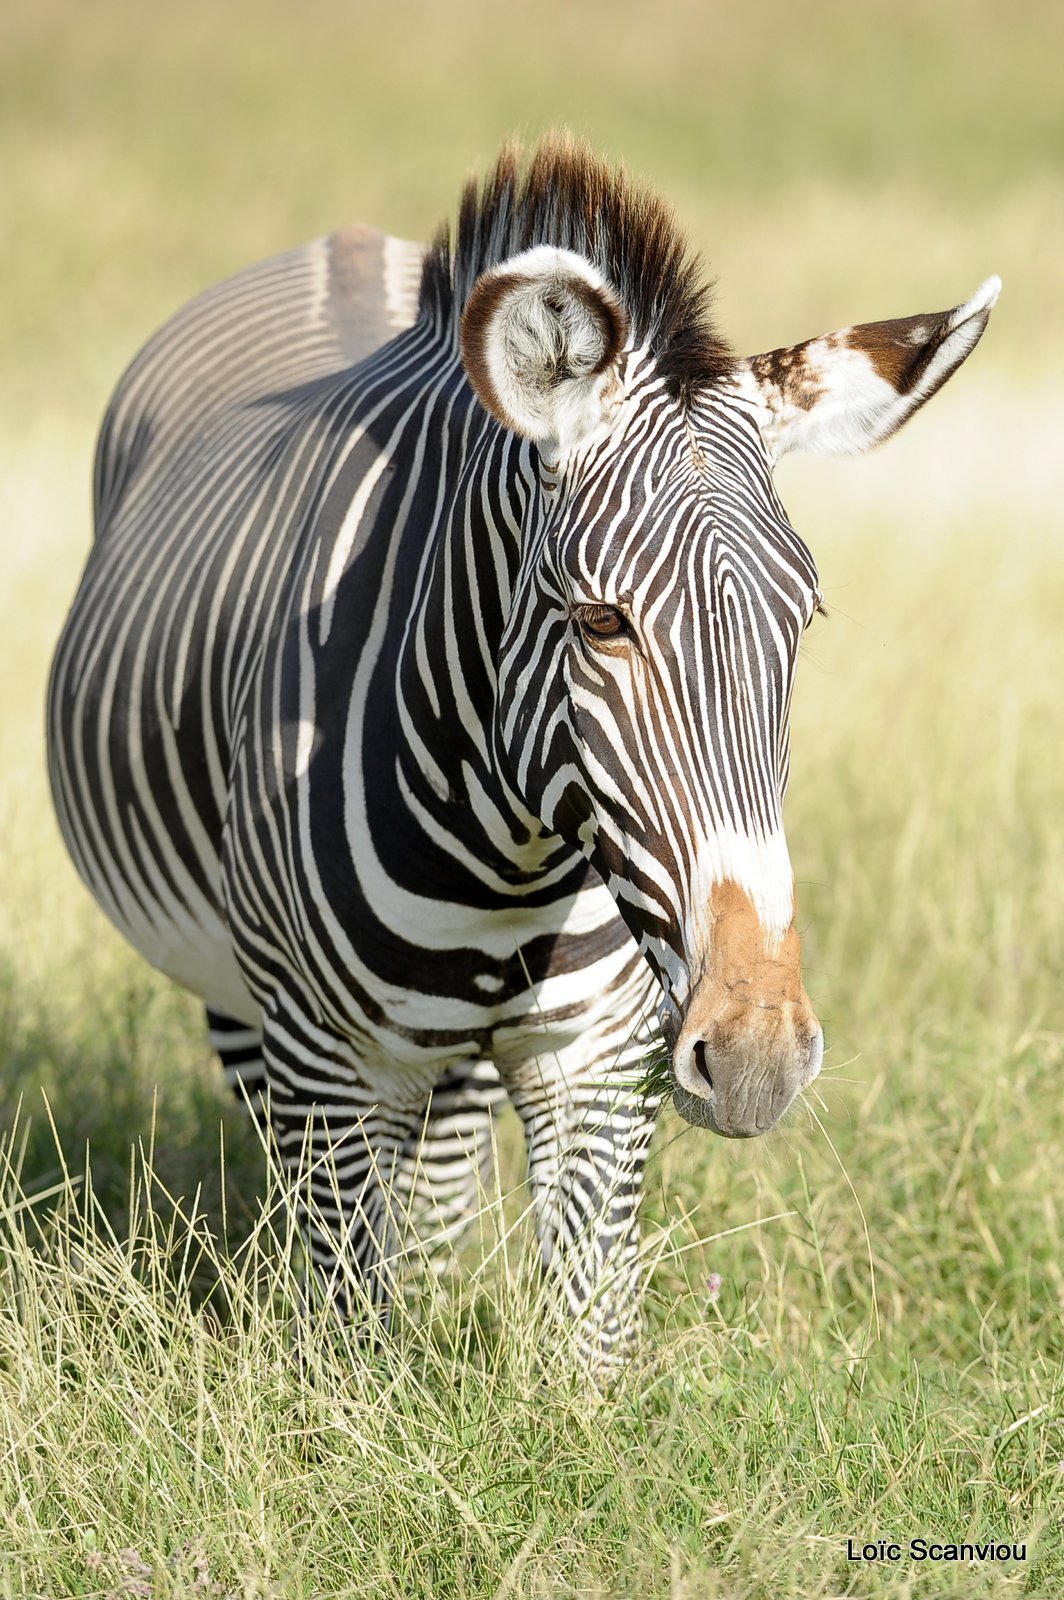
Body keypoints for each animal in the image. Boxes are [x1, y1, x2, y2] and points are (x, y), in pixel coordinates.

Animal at [47, 137, 998, 1369]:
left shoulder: (600, 1059)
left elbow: (587, 1346)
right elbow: (349, 1347)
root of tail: (341, 250)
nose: (758, 1056)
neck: (507, 858)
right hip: (243, 997)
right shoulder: (321, 1061)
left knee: (439, 1185)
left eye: (805, 619)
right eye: (600, 622)